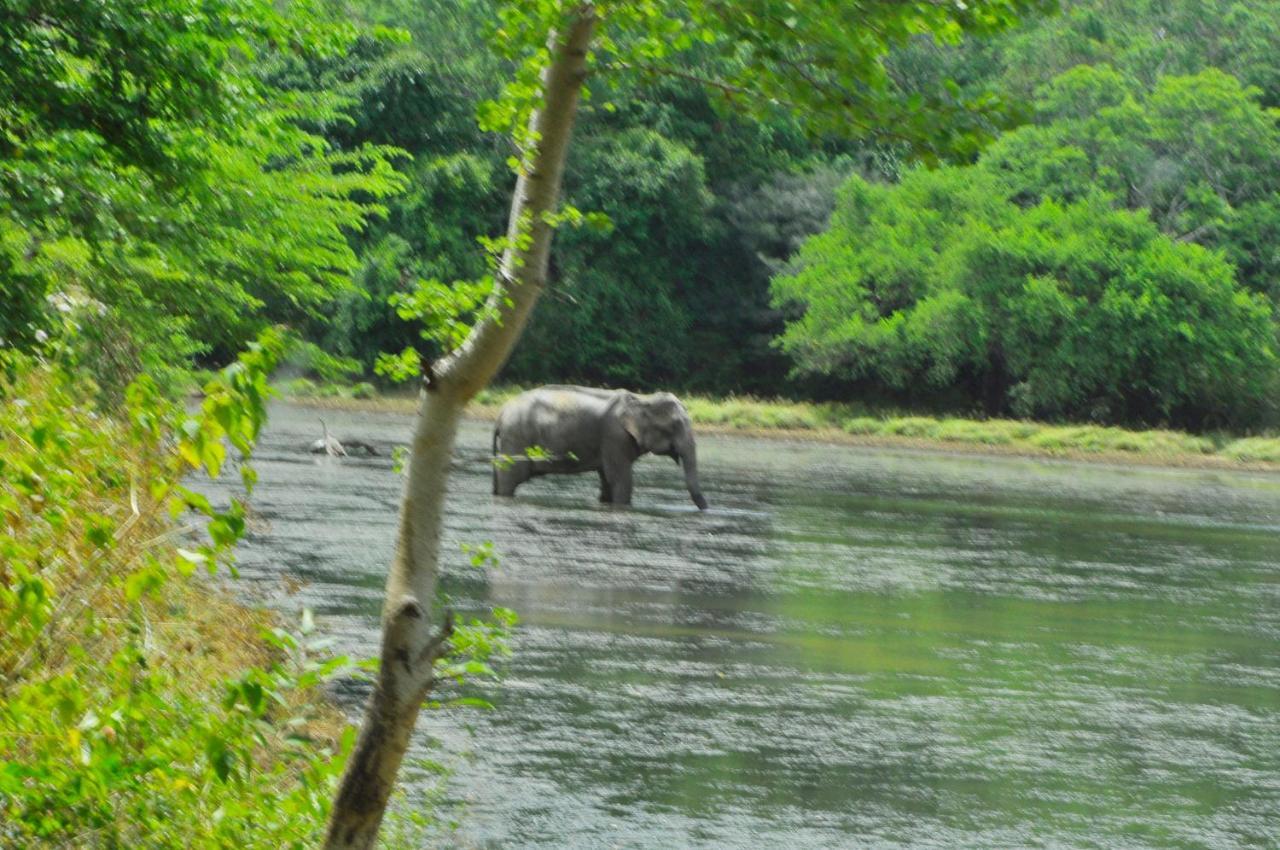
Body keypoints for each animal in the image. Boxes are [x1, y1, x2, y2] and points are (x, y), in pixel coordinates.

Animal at [491, 386, 711, 512]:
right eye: (676, 425)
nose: (706, 510)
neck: (642, 399)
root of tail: (500, 415)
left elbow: (608, 481)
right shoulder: (615, 436)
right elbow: (621, 481)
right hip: (516, 438)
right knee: (511, 478)